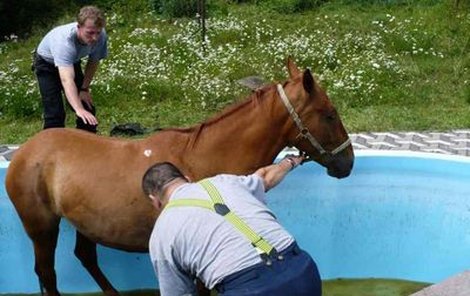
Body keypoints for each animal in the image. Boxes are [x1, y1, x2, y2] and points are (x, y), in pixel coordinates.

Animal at [6, 59, 352, 294]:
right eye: (329, 114)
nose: (347, 162)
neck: (202, 158)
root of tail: (25, 151)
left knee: (86, 257)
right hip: (42, 229)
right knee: (47, 274)